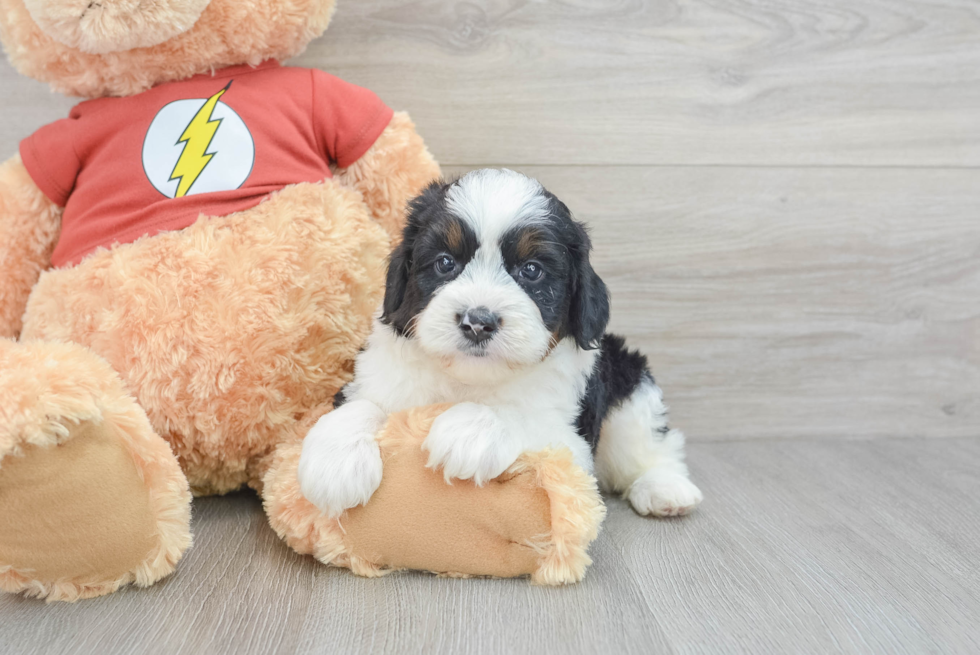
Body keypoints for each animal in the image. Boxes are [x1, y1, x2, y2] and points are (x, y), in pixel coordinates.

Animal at [300, 172, 704, 520]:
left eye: (532, 270)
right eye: (445, 262)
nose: (477, 322)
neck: (468, 381)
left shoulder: (571, 441)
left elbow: (522, 415)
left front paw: (470, 430)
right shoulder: (379, 375)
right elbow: (360, 404)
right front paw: (334, 463)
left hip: (630, 385)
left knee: (650, 444)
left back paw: (665, 487)